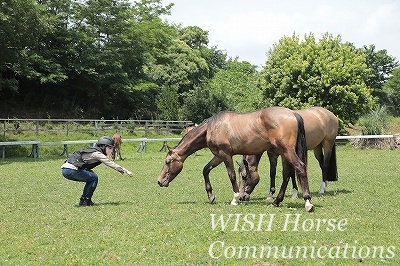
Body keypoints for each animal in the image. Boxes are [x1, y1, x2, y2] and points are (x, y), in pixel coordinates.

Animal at [157, 106, 316, 212]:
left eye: (167, 162)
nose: (159, 181)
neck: (211, 127)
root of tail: (293, 114)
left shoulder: (226, 155)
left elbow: (231, 175)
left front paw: (235, 198)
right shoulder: (218, 156)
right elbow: (205, 170)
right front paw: (211, 196)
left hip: (287, 151)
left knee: (300, 167)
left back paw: (307, 202)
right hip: (284, 153)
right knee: (287, 174)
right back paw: (276, 201)